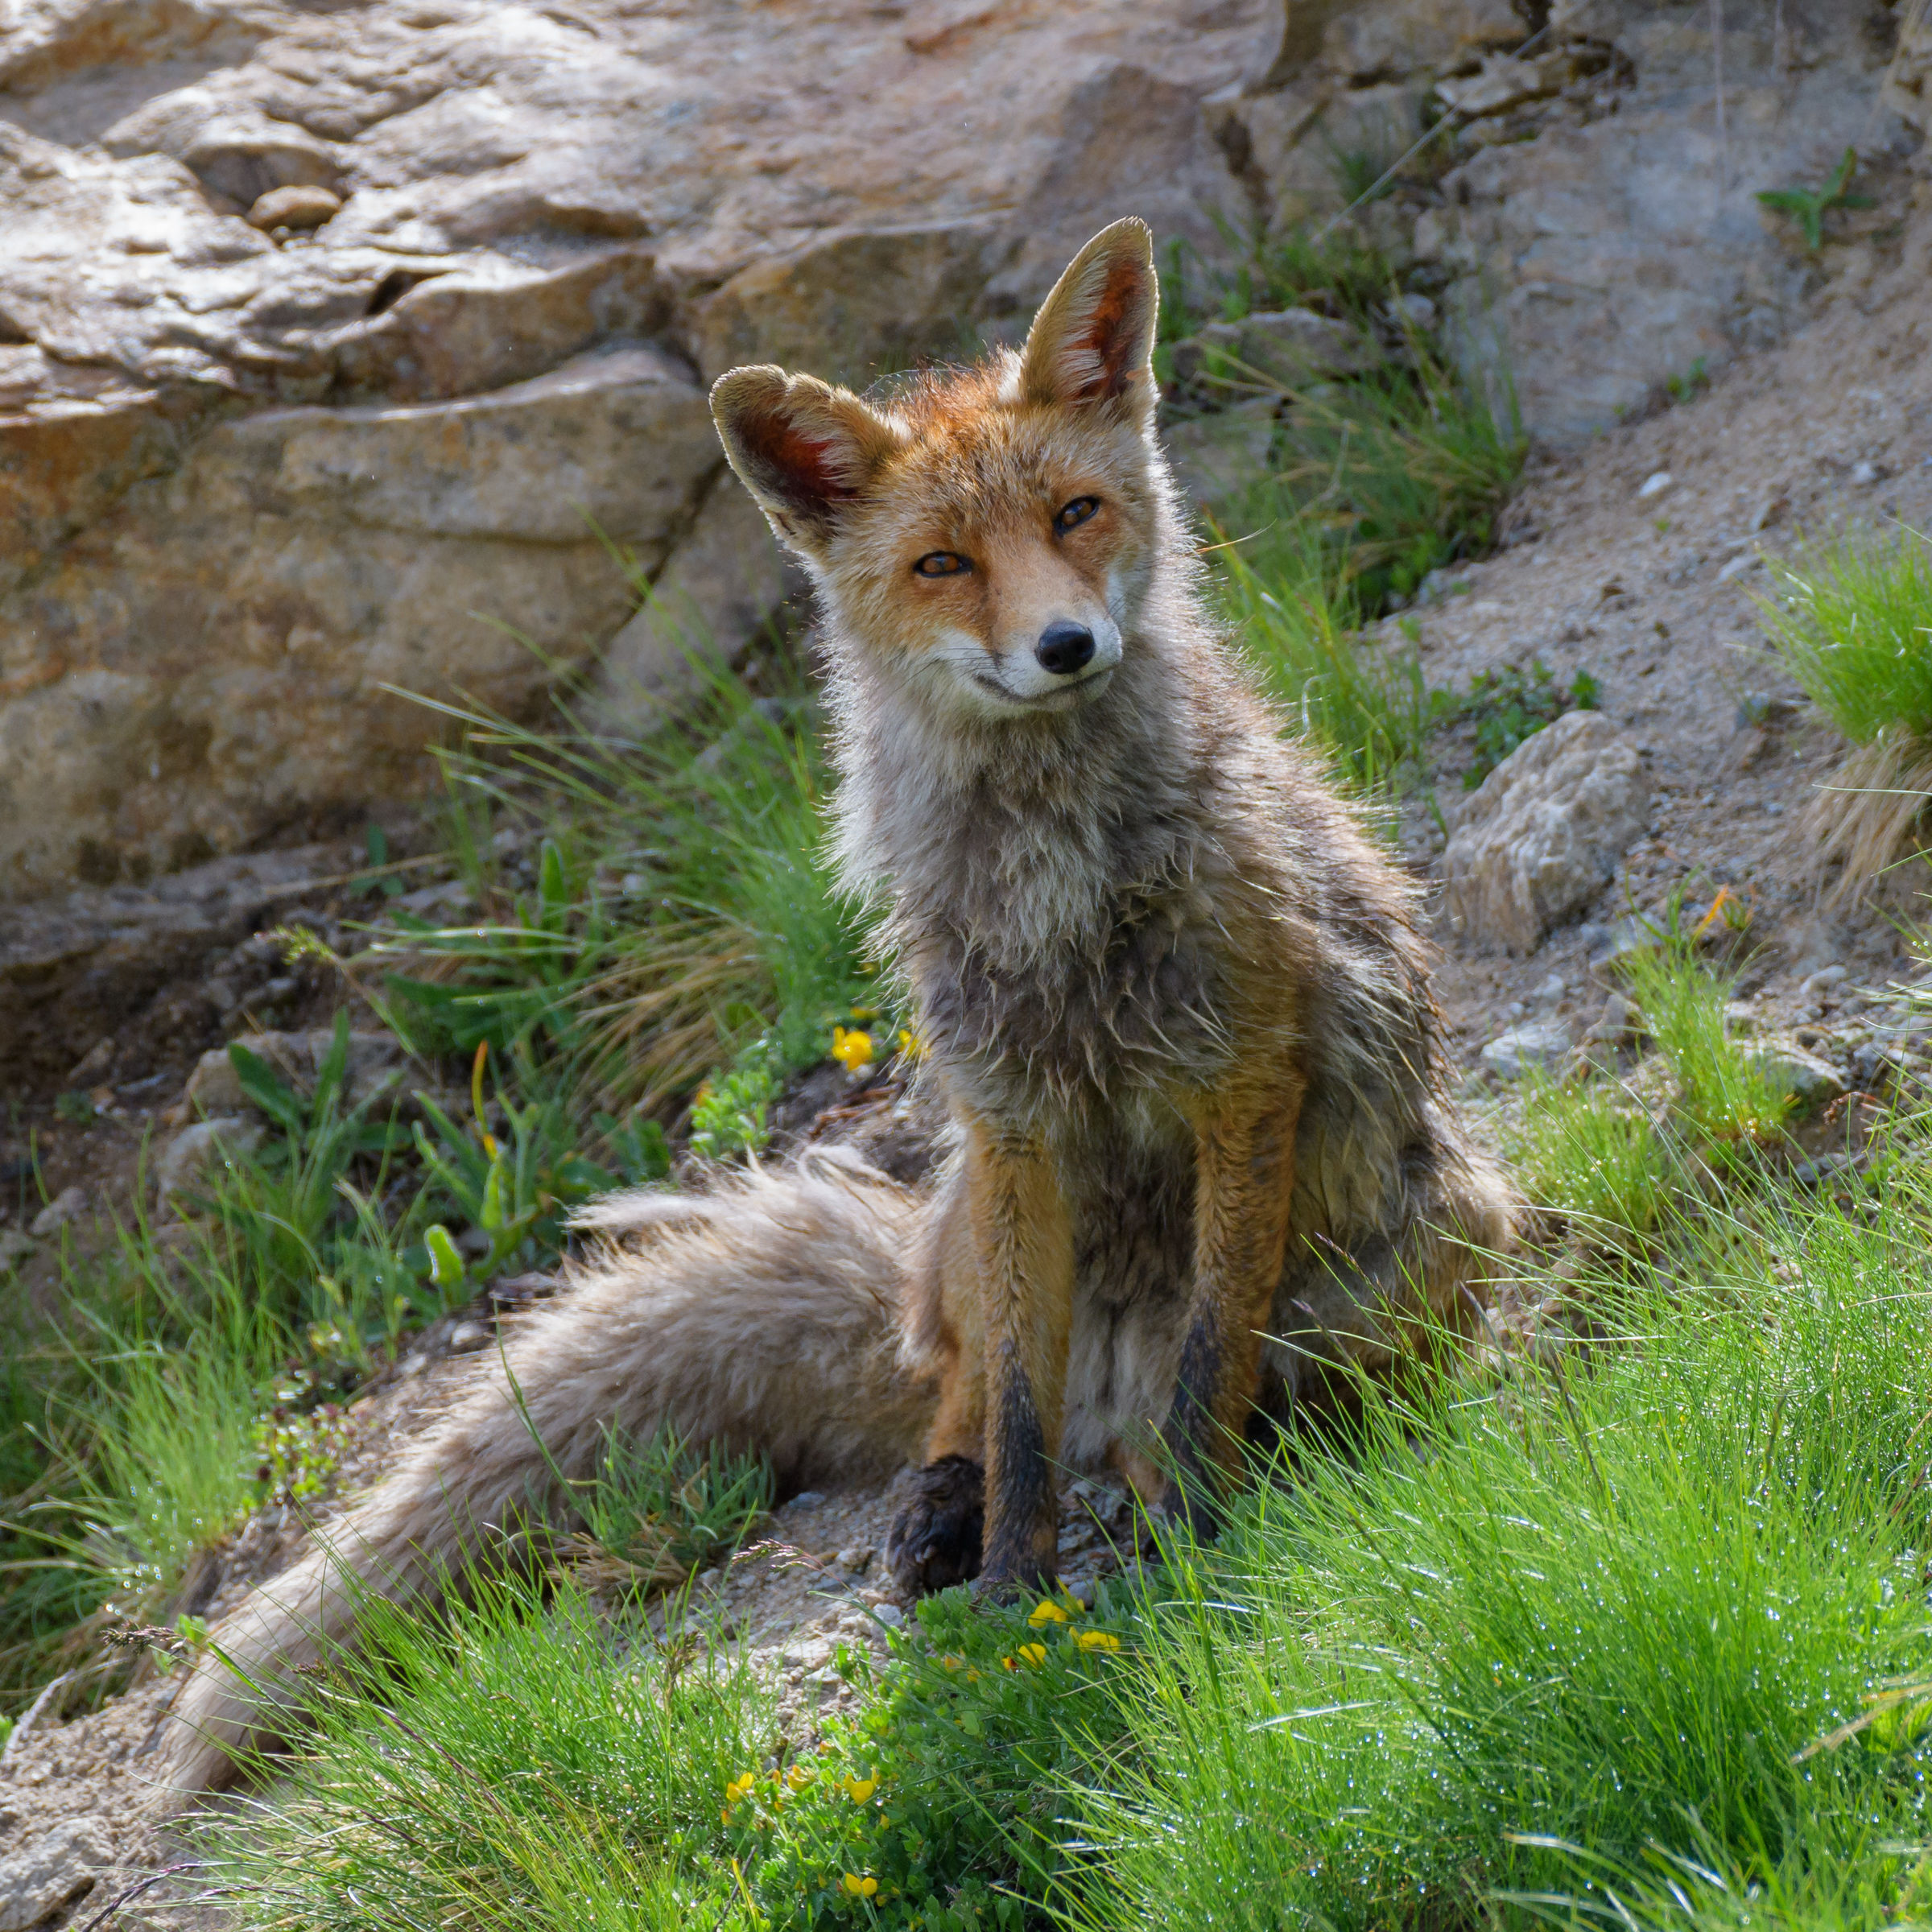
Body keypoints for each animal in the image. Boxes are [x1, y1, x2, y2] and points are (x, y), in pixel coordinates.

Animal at [154, 217, 1515, 1797]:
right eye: (943, 564)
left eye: (1079, 513)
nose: (1065, 647)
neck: (1054, 876)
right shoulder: (1011, 1117)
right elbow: (1020, 1427)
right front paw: (1015, 1605)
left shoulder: (1242, 1080)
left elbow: (1209, 1361)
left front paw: (1190, 1546)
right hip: (970, 1220)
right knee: (975, 1401)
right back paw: (940, 1515)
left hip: (1421, 1249)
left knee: (1182, 1411)